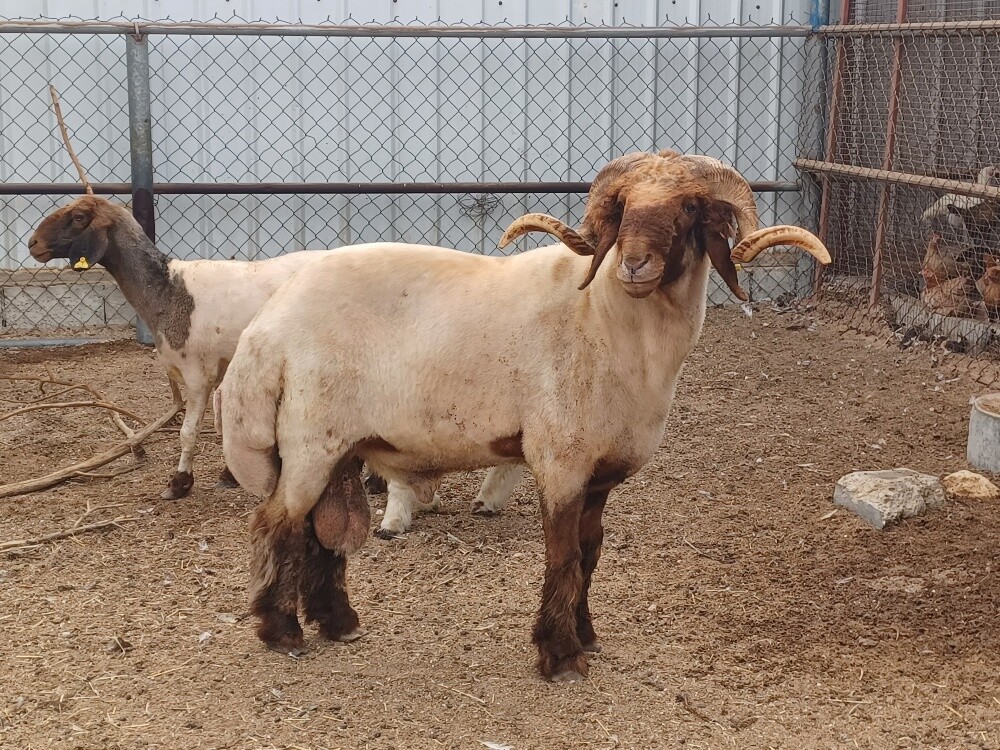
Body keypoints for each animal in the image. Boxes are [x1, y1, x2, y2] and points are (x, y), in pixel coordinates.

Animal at [217, 149, 830, 680]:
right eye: (623, 206)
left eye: (691, 208)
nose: (634, 264)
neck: (604, 316)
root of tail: (267, 330)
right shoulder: (560, 459)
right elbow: (562, 556)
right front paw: (559, 656)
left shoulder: (599, 472)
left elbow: (590, 552)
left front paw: (586, 636)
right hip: (308, 440)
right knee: (276, 523)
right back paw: (281, 632)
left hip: (336, 444)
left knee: (318, 532)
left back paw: (338, 622)